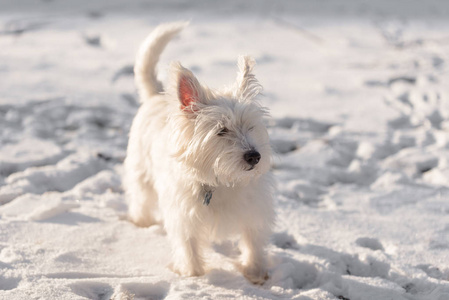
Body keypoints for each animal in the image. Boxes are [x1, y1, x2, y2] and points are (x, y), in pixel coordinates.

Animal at [124, 21, 274, 284]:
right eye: (221, 130)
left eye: (251, 126)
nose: (254, 157)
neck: (222, 182)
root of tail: (155, 95)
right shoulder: (184, 216)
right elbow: (189, 247)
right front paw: (193, 276)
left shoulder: (253, 209)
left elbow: (253, 241)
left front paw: (255, 273)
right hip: (141, 170)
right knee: (140, 198)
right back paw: (141, 222)